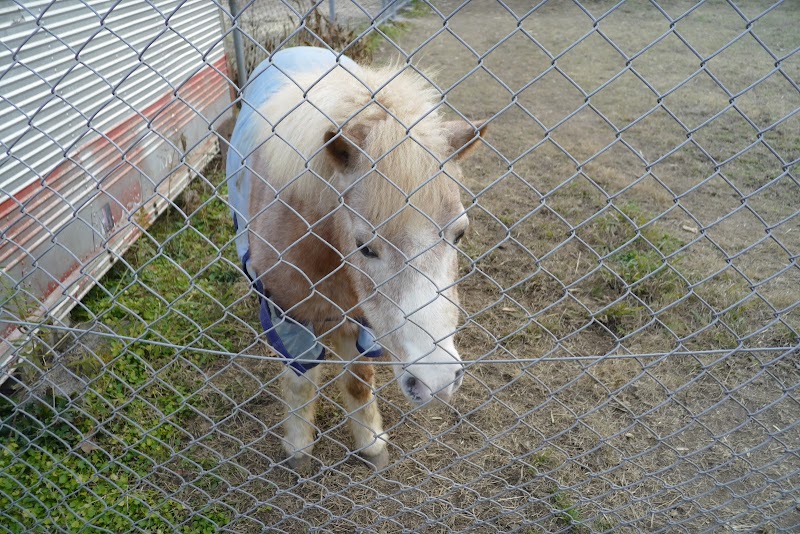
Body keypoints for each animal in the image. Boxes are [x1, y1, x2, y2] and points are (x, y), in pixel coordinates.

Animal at [227, 47, 488, 474]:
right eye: (365, 246)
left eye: (460, 234)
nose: (435, 382)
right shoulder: (289, 317)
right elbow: (301, 381)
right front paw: (298, 449)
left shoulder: (364, 322)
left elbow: (358, 378)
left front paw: (371, 444)